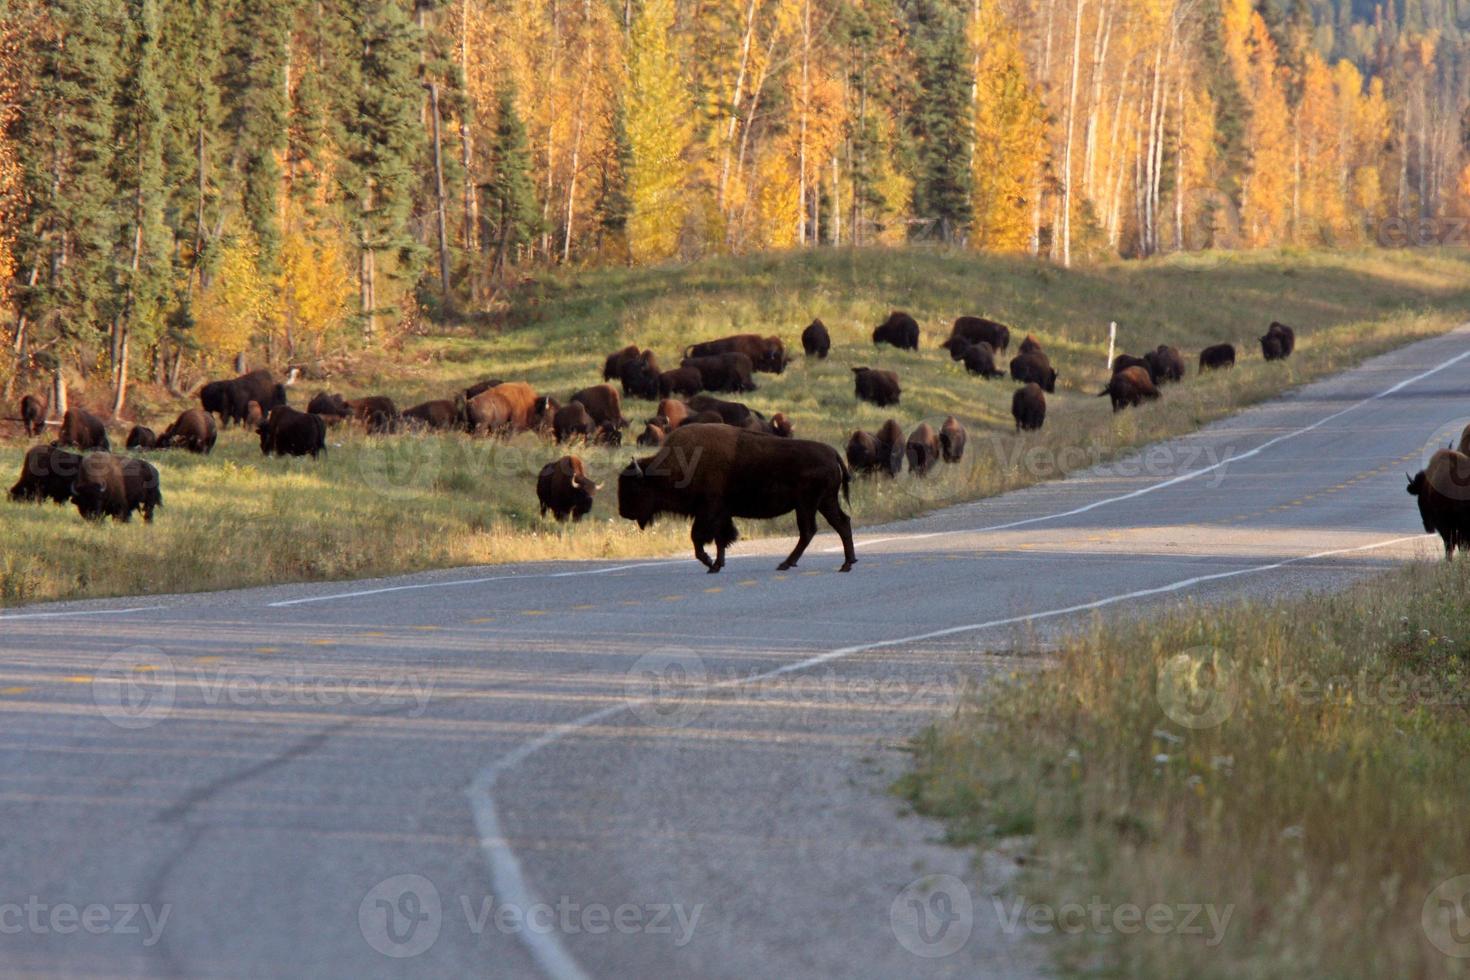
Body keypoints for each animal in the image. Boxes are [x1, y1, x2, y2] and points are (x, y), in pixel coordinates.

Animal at [614, 423, 858, 575]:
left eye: (634, 487)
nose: (623, 512)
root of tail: (832, 453)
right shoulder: (721, 515)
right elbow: (721, 539)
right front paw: (716, 565)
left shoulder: (708, 512)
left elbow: (698, 538)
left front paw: (710, 563)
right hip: (824, 502)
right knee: (841, 523)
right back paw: (846, 564)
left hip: (808, 505)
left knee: (809, 530)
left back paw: (786, 564)